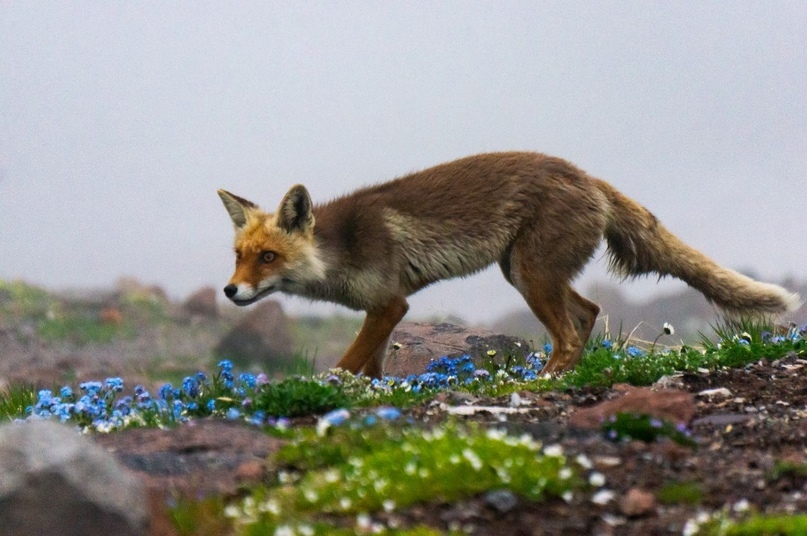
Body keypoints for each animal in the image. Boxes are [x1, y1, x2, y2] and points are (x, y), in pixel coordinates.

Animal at [216, 151, 800, 376]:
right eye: (239, 258)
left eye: (268, 257)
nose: (230, 292)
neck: (341, 249)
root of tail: (585, 175)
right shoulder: (382, 311)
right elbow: (374, 366)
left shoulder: (389, 303)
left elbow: (346, 363)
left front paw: (335, 389)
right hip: (527, 273)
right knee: (588, 314)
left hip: (530, 275)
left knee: (570, 332)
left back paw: (540, 382)